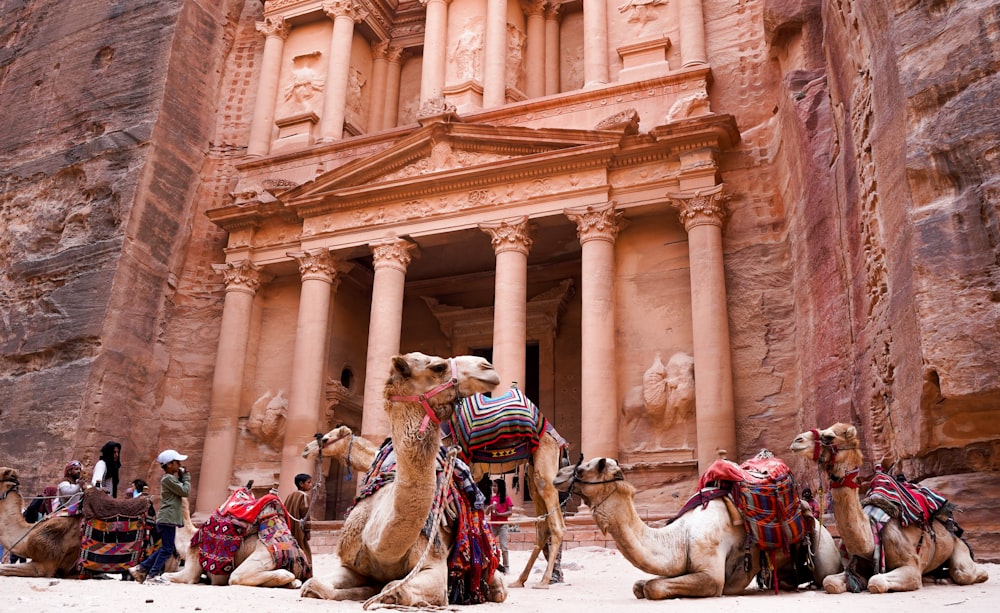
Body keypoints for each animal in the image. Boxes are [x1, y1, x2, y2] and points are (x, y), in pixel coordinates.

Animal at [298, 352, 508, 604]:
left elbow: (396, 589)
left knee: (498, 586)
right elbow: (314, 585)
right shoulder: (349, 563)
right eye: (439, 367)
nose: (488, 367)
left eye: (326, 439)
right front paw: (359, 590)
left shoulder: (434, 563)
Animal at [552, 456, 840, 600]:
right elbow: (640, 585)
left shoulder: (711, 574)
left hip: (822, 542)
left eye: (582, 468)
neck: (679, 536)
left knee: (826, 574)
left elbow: (653, 588)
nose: (556, 476)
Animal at [788, 424, 992, 592]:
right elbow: (829, 581)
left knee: (964, 572)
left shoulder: (911, 566)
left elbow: (876, 581)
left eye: (829, 436)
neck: (870, 539)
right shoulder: (856, 566)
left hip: (958, 546)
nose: (797, 440)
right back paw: (936, 578)